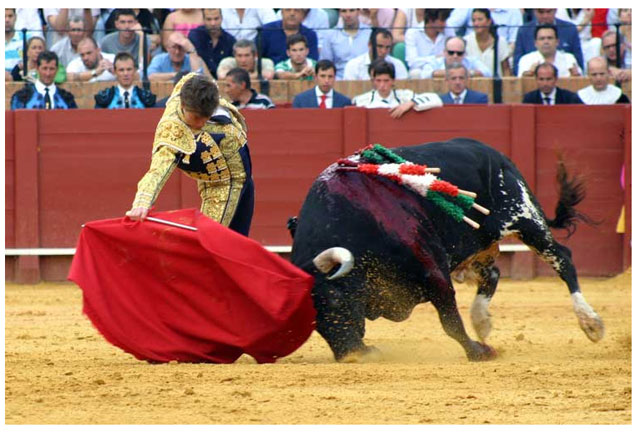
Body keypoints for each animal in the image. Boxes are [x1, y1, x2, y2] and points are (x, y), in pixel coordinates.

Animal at [290, 138, 604, 362]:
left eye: (335, 300)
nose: (350, 357)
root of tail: (496, 155)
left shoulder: (433, 272)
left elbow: (449, 322)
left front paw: (478, 352)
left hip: (526, 219)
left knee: (563, 260)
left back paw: (590, 323)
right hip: (477, 244)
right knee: (493, 274)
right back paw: (481, 321)